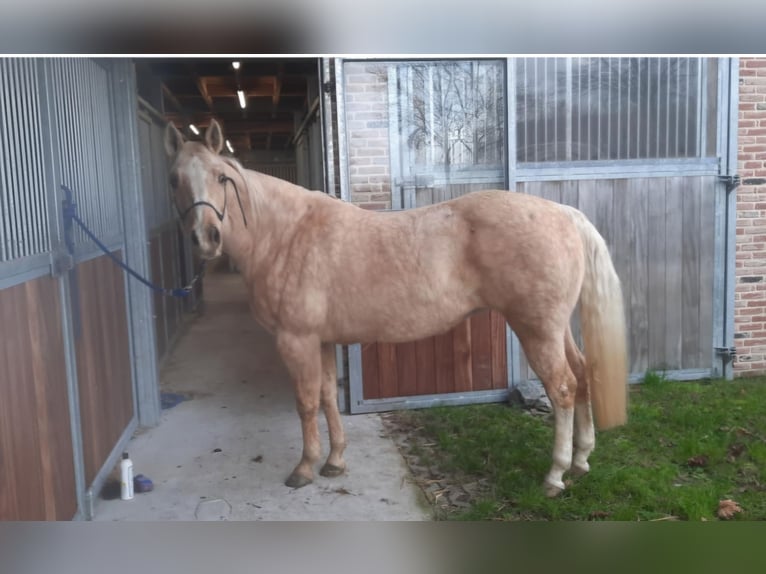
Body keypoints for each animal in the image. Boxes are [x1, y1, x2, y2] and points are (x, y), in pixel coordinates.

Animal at [164, 119, 628, 497]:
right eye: (173, 180)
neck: (287, 235)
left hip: (535, 328)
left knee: (563, 387)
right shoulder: (321, 340)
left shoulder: (296, 341)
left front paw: (304, 468)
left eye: (221, 177)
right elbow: (328, 398)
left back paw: (555, 476)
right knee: (582, 374)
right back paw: (582, 461)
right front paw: (335, 462)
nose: (206, 238)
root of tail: (563, 213)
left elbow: (306, 403)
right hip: (555, 327)